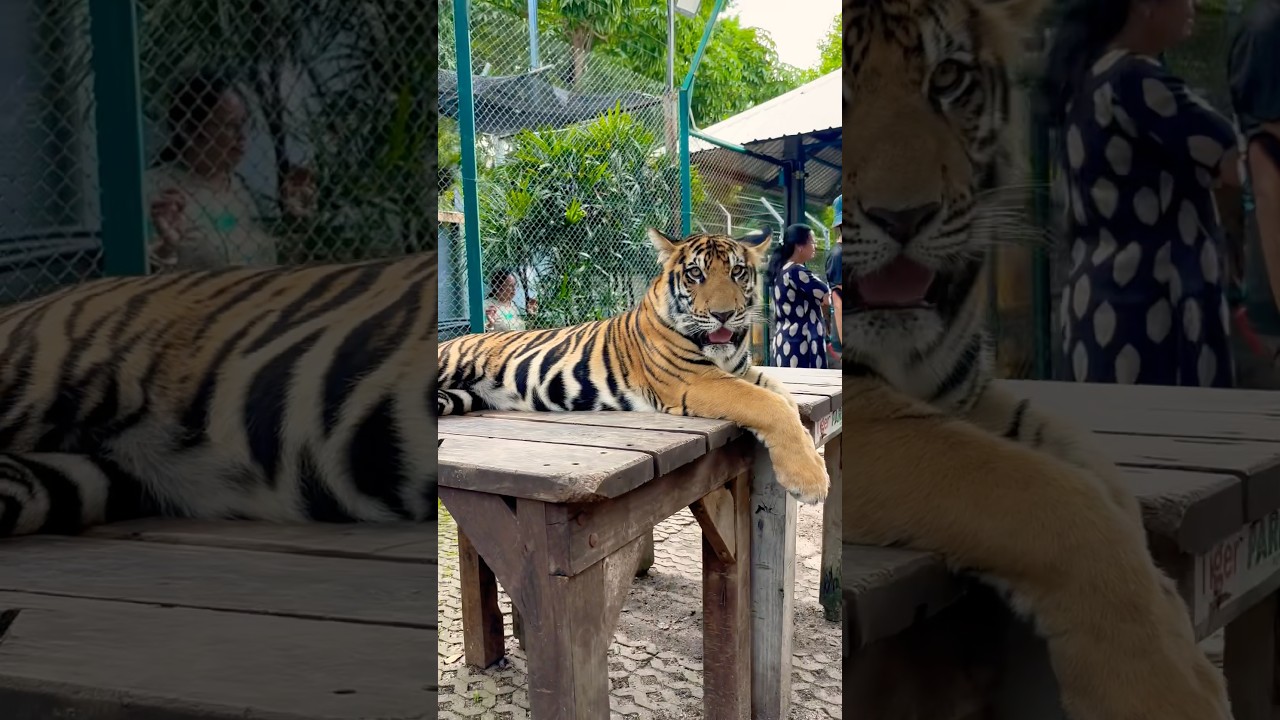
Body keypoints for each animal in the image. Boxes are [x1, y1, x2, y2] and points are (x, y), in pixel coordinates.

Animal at [436, 227, 830, 504]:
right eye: (695, 274)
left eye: (737, 272)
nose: (723, 314)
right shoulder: (697, 380)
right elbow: (769, 404)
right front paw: (810, 481)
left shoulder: (741, 371)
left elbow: (784, 397)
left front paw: (811, 455)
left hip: (459, 397)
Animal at [841, 0, 1231, 718]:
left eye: (946, 78)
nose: (903, 218)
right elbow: (1049, 496)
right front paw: (1162, 692)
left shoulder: (965, 392)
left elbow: (1098, 478)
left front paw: (1175, 625)